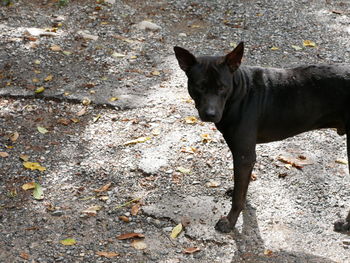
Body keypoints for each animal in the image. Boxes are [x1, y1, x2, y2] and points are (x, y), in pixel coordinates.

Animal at [174, 42, 350, 234]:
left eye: (222, 87)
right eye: (199, 87)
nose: (210, 114)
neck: (239, 92)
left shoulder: (244, 155)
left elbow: (238, 198)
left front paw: (230, 222)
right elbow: (241, 188)